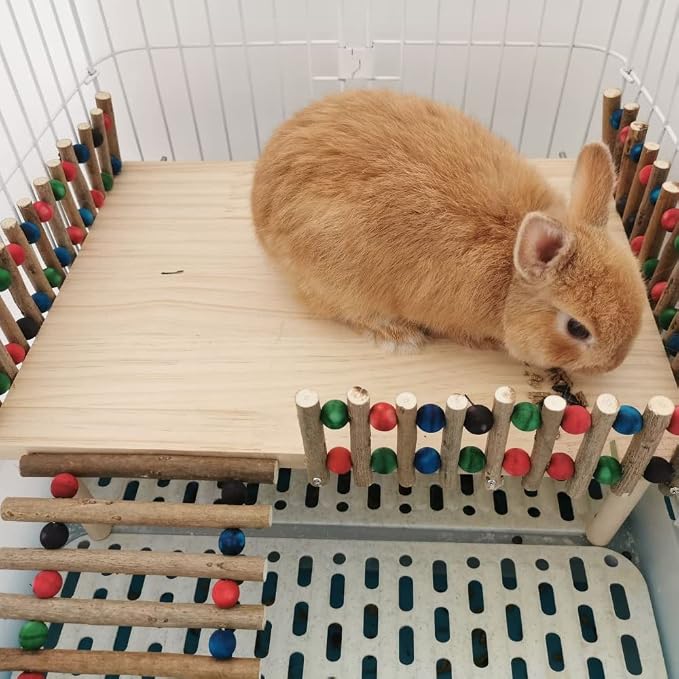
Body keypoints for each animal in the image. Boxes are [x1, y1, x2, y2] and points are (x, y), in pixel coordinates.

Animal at [251, 89, 647, 374]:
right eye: (577, 329)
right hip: (337, 280)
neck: (509, 281)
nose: (613, 364)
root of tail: (259, 198)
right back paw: (400, 336)